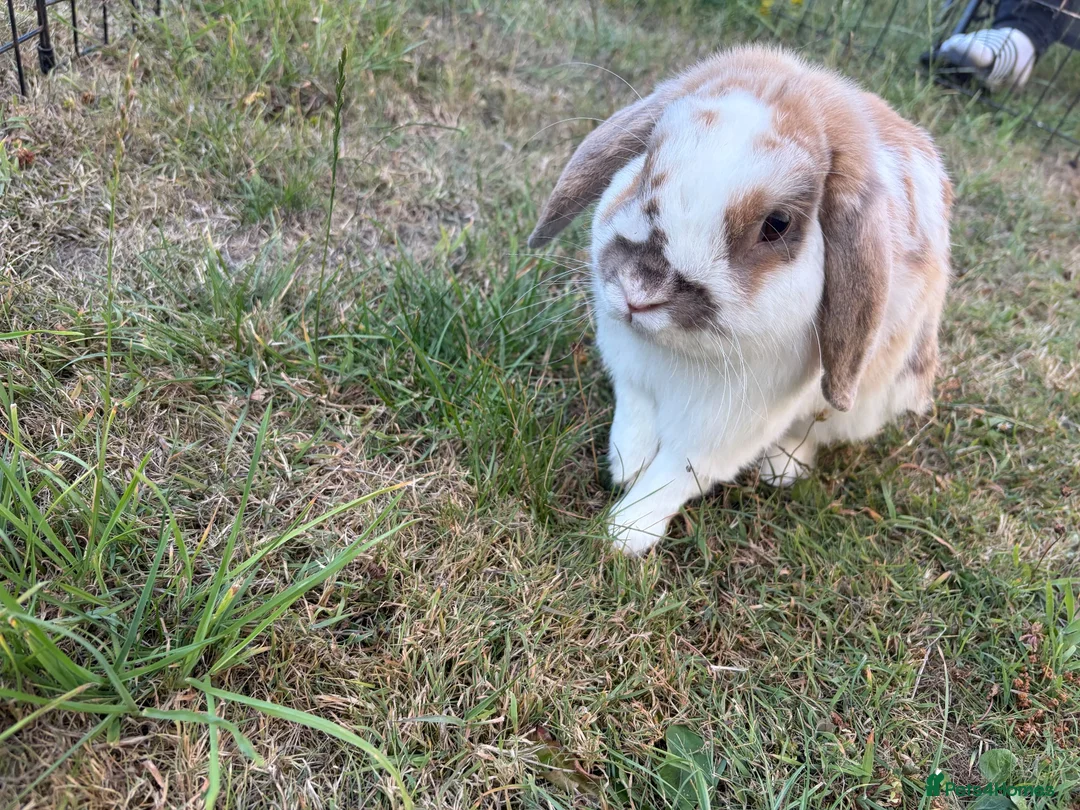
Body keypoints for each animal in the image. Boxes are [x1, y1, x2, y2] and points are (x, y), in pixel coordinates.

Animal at [527, 44, 953, 555]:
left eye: (777, 224)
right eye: (646, 161)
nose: (639, 293)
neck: (673, 357)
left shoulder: (725, 429)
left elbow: (675, 475)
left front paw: (624, 534)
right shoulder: (633, 376)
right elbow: (634, 419)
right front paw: (625, 464)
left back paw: (782, 468)